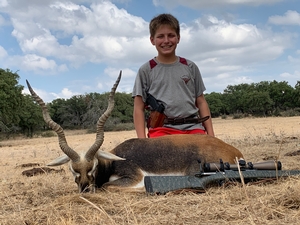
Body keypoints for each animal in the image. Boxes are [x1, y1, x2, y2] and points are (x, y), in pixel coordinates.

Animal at [27, 71, 244, 192]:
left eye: (93, 166)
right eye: (72, 169)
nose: (85, 189)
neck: (111, 164)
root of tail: (235, 152)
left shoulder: (133, 177)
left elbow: (107, 186)